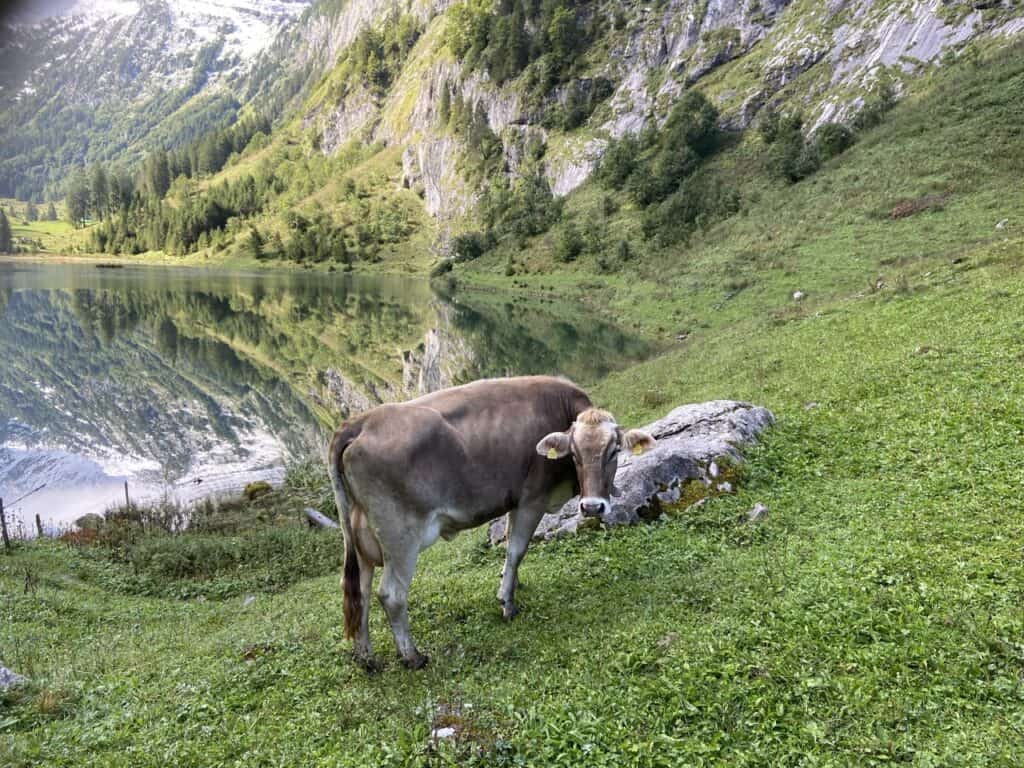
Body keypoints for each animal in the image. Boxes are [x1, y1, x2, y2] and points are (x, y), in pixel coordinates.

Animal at [327, 375, 656, 670]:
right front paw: (506, 603)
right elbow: (517, 549)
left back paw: (366, 658)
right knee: (391, 595)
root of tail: (360, 422)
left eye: (614, 450)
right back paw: (412, 657)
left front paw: (513, 584)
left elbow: (511, 549)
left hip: (360, 535)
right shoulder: (531, 499)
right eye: (573, 453)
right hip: (400, 536)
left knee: (359, 592)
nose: (592, 506)